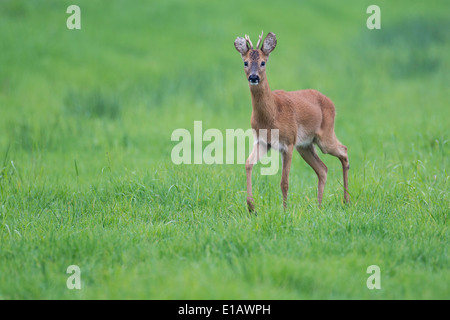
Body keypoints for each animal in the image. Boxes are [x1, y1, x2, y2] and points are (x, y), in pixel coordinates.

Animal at [236, 31, 352, 212]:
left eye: (263, 62)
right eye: (245, 62)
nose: (253, 77)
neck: (271, 116)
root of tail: (331, 103)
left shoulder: (288, 143)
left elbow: (284, 182)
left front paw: (285, 211)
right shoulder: (263, 142)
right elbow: (248, 163)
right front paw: (251, 207)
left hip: (324, 136)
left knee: (344, 151)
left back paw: (346, 201)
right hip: (305, 145)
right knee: (323, 169)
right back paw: (319, 206)